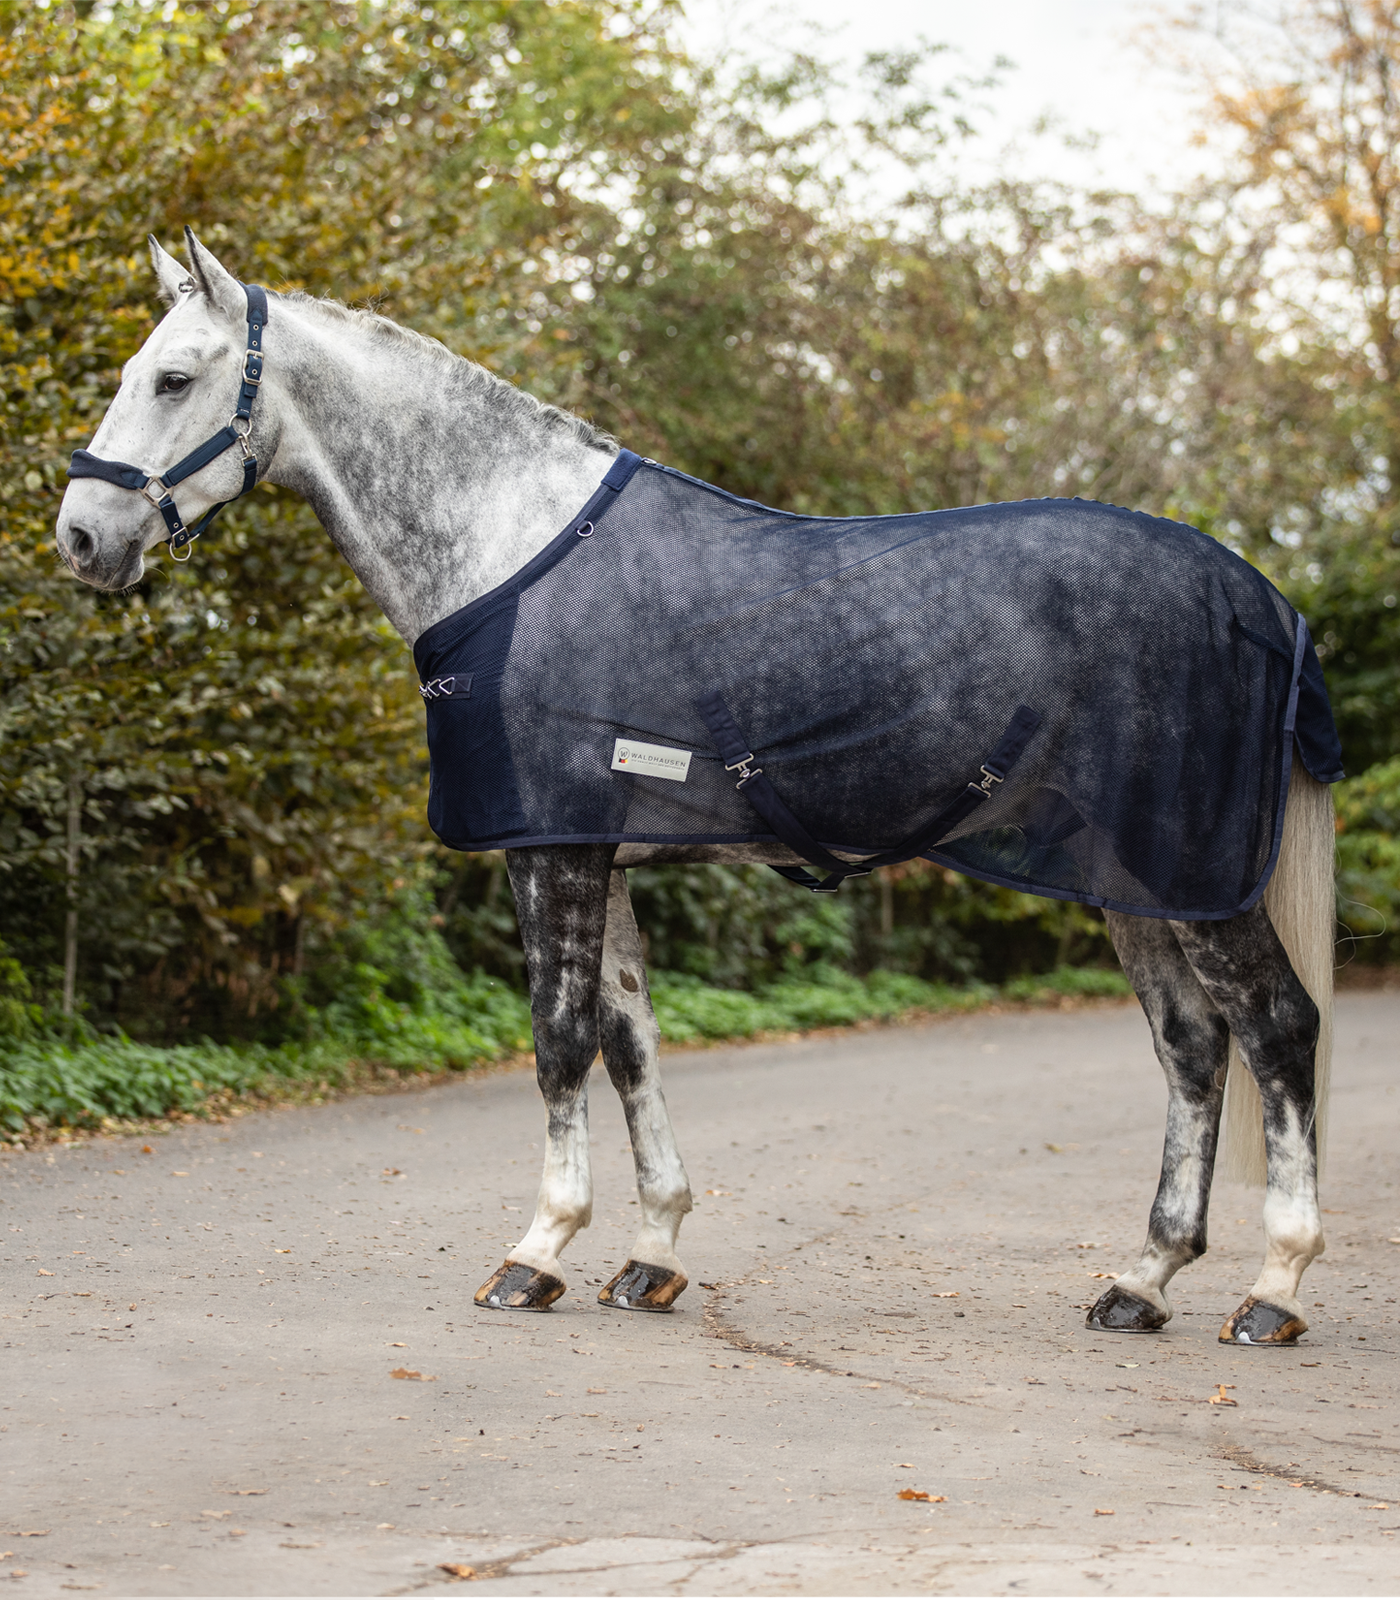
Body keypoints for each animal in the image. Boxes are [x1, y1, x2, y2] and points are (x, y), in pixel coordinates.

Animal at [54, 232, 1344, 1344]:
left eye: (174, 377)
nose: (80, 538)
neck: (509, 546)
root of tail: (1260, 596)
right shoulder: (598, 848)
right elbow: (629, 1041)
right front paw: (650, 1252)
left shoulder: (549, 850)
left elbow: (559, 1038)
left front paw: (536, 1251)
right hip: (1139, 882)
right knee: (1191, 1045)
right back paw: (1141, 1279)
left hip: (1196, 875)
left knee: (1275, 1028)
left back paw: (1272, 1288)